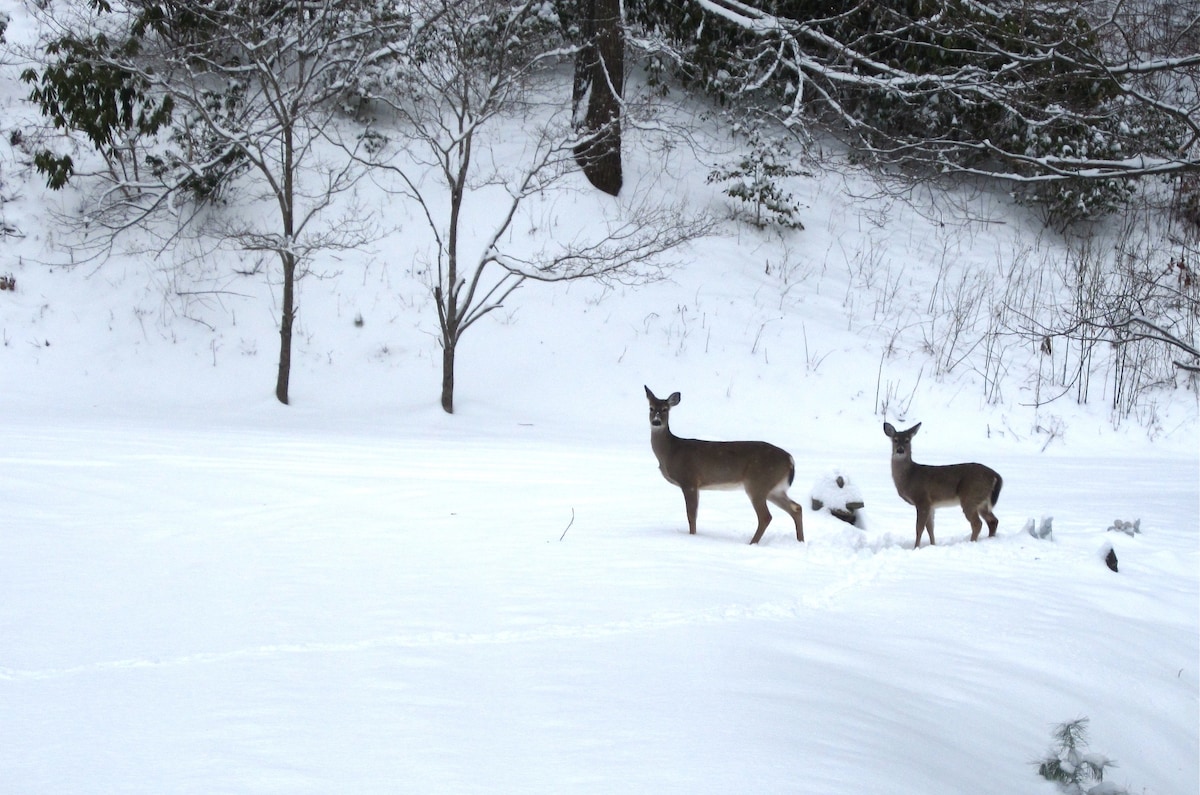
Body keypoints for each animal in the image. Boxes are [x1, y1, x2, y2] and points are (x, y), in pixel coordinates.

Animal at [643, 386, 801, 547]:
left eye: (665, 409)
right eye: (651, 408)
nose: (656, 422)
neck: (671, 451)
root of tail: (790, 459)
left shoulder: (689, 480)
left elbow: (691, 515)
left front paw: (692, 537)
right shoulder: (695, 485)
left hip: (758, 483)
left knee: (766, 516)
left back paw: (752, 543)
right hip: (774, 488)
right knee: (796, 508)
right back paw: (800, 540)